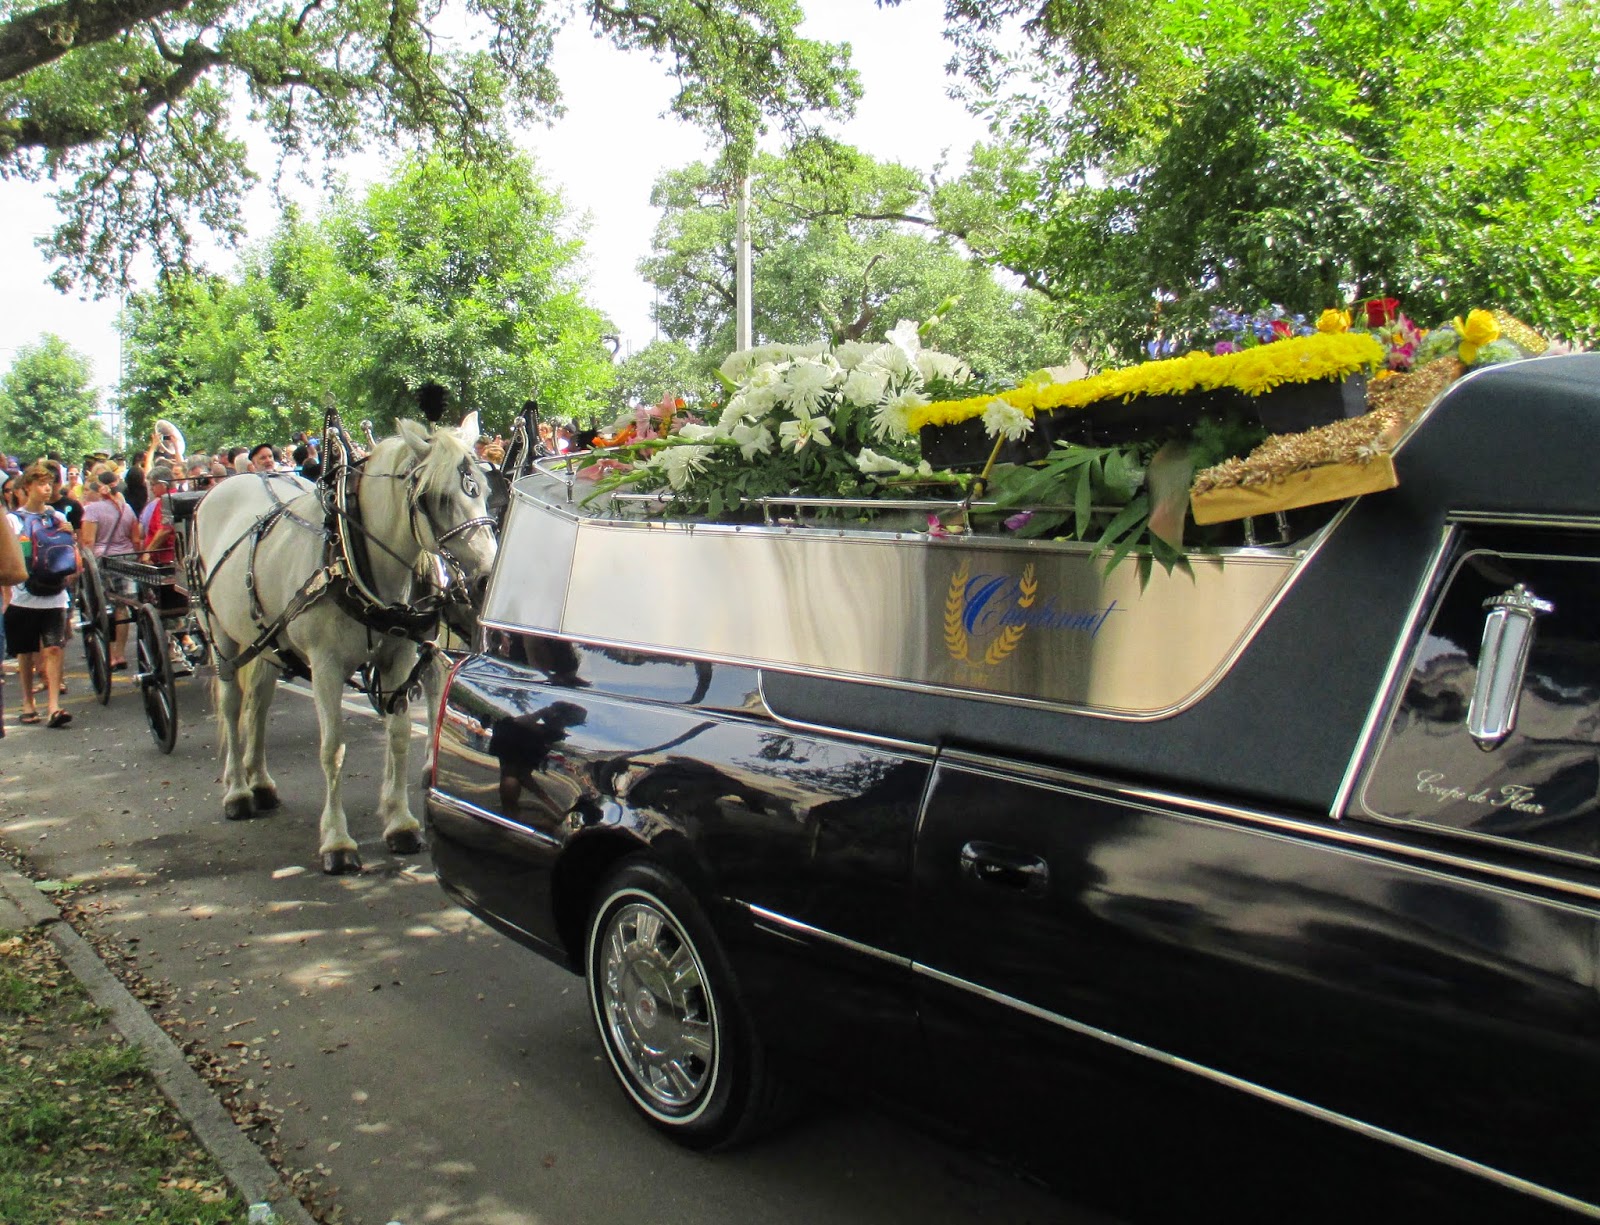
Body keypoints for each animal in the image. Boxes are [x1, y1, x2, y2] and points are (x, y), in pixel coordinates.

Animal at [191, 415, 498, 873]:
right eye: (435, 498)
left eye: (485, 489)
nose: (486, 580)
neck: (354, 558)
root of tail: (230, 481)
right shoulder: (326, 667)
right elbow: (333, 749)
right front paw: (337, 841)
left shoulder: (400, 655)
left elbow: (399, 735)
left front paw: (400, 822)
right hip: (221, 635)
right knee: (231, 706)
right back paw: (238, 791)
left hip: (265, 641)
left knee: (258, 703)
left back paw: (260, 781)